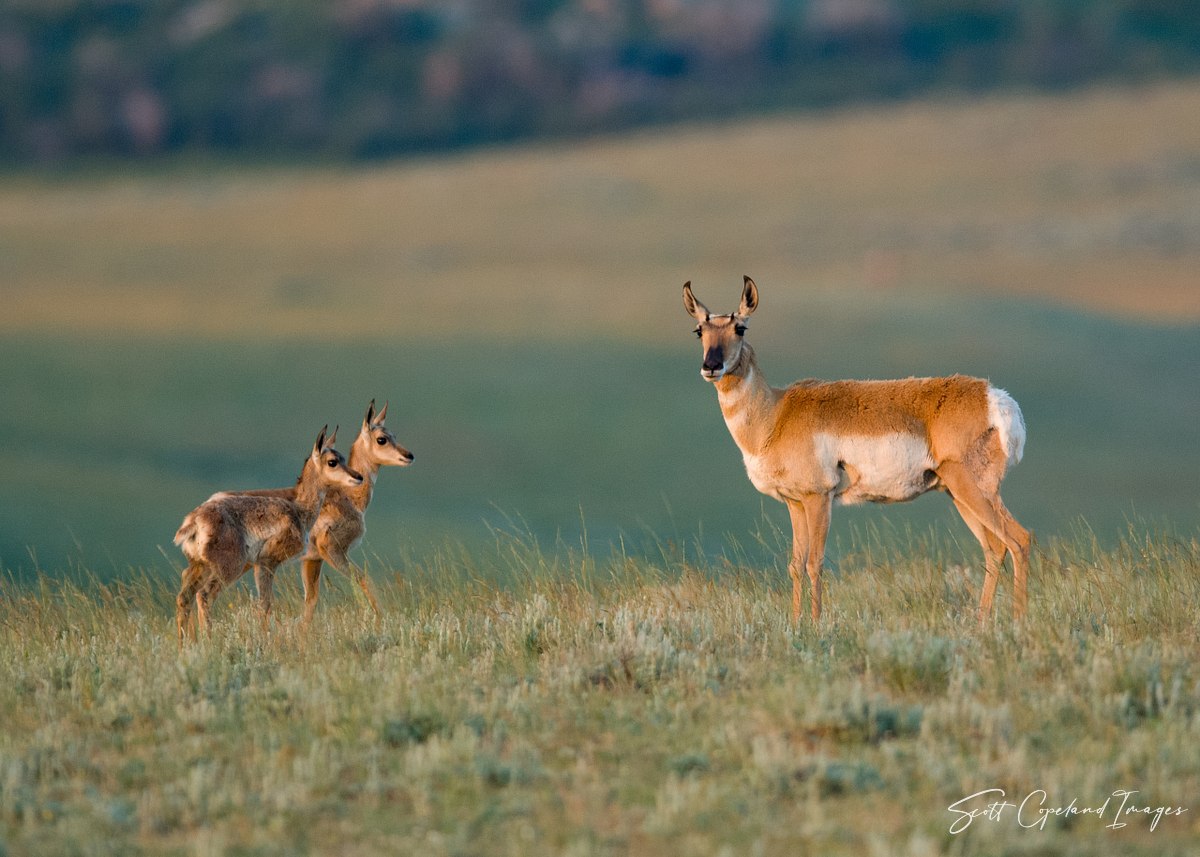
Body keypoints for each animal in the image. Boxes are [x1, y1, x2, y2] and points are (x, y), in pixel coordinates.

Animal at [173, 426, 362, 645]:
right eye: (332, 461)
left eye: (343, 457)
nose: (359, 476)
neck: (298, 510)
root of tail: (195, 519)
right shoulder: (267, 563)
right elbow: (265, 604)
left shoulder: (261, 565)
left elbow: (264, 604)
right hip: (227, 569)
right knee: (203, 596)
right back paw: (209, 642)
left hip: (200, 566)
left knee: (184, 597)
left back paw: (183, 646)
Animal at [683, 276, 1031, 625]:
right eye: (700, 330)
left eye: (740, 327)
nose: (711, 365)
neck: (776, 414)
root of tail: (994, 397)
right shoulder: (795, 503)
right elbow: (795, 565)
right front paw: (795, 623)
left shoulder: (819, 499)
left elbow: (815, 563)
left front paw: (815, 624)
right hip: (958, 494)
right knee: (994, 548)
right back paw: (982, 622)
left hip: (973, 490)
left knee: (1019, 539)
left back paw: (1018, 620)